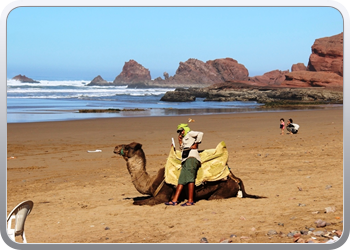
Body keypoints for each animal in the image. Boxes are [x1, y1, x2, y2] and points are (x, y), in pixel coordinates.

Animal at [113, 142, 264, 206]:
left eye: (128, 146)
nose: (115, 147)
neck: (150, 183)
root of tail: (236, 179)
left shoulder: (163, 194)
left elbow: (138, 202)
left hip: (223, 189)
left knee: (213, 197)